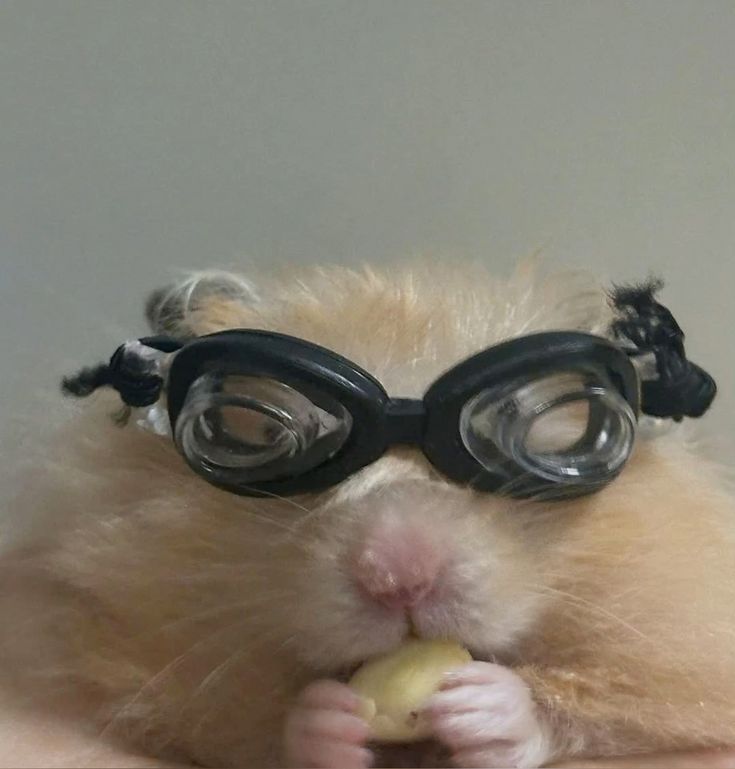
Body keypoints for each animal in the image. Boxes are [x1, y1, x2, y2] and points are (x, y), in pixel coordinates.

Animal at [1, 258, 734, 768]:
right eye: (257, 432)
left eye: (557, 437)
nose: (399, 580)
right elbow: (255, 723)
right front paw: (328, 717)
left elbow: (600, 706)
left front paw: (484, 705)